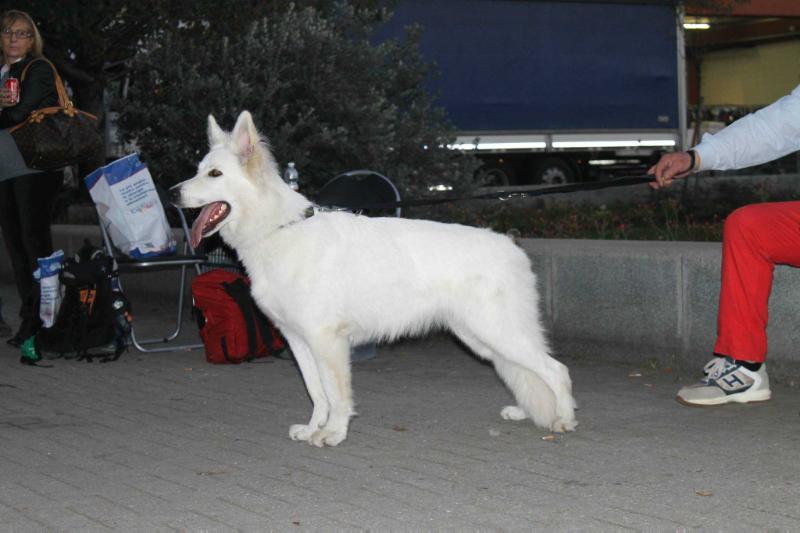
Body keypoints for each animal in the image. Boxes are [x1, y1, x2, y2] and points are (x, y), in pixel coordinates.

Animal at [172, 111, 580, 444]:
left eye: (214, 174)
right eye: (197, 170)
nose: (173, 193)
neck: (277, 230)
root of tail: (513, 246)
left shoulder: (328, 341)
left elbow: (336, 394)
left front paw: (333, 433)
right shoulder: (298, 340)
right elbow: (316, 392)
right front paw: (313, 428)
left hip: (497, 332)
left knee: (555, 369)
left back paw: (563, 420)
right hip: (481, 338)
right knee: (529, 372)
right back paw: (528, 412)